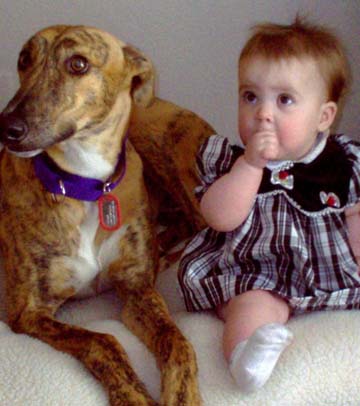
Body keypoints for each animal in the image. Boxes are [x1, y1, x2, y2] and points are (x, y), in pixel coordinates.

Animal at [0, 26, 214, 406]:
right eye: (24, 59)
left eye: (78, 63)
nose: (6, 127)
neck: (87, 185)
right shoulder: (28, 312)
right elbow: (102, 340)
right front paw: (132, 394)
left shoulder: (136, 290)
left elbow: (176, 341)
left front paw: (183, 394)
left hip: (169, 157)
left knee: (198, 224)